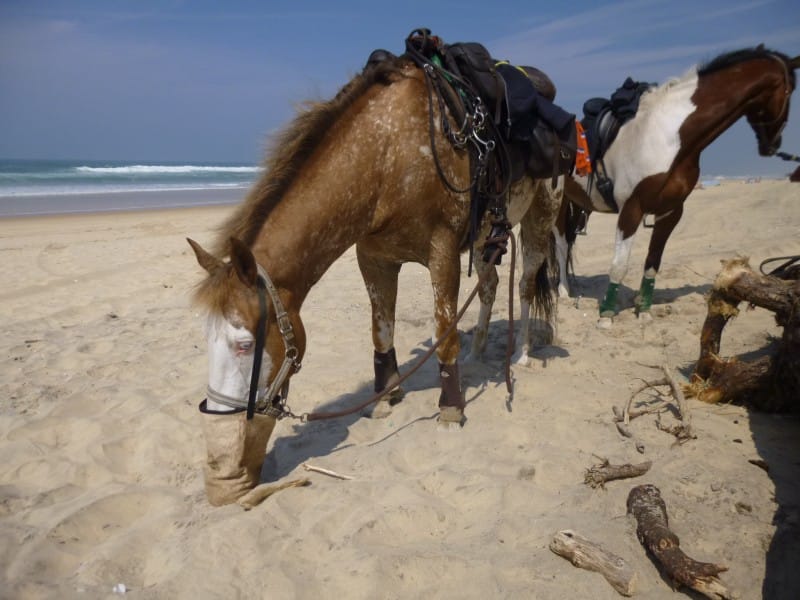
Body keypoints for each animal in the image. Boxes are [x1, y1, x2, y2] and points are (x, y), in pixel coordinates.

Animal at [552, 45, 800, 328]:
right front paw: (606, 315)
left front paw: (644, 312)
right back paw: (563, 292)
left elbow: (652, 263)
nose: (773, 144)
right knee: (560, 243)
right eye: (789, 92)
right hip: (558, 202)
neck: (670, 137)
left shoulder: (670, 212)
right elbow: (619, 265)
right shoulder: (631, 209)